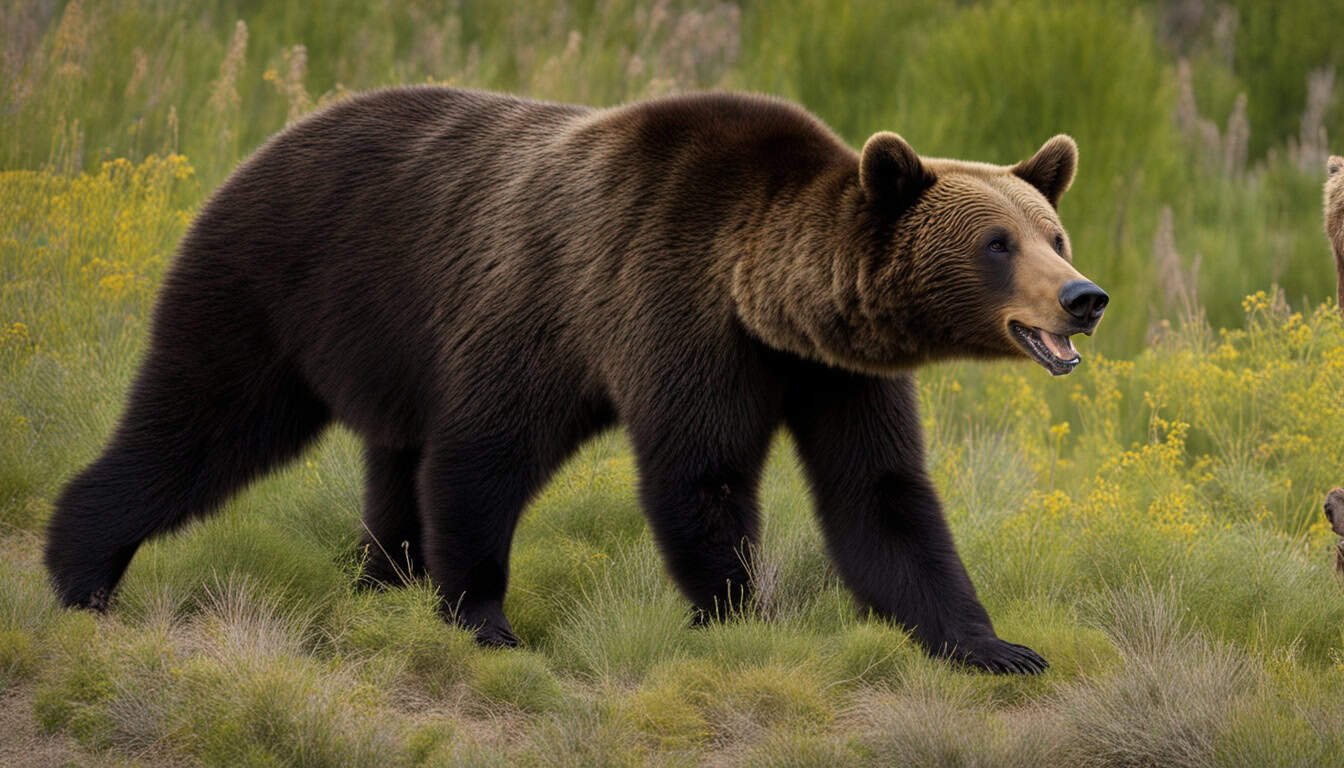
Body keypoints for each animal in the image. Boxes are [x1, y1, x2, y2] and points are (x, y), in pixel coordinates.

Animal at [45, 87, 1107, 674]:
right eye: (996, 242)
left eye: (1053, 234)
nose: (1084, 297)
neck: (761, 298)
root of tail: (265, 144)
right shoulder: (653, 304)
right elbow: (694, 474)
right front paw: (742, 614)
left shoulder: (833, 373)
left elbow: (881, 496)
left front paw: (993, 644)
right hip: (288, 285)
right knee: (204, 423)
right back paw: (81, 565)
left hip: (393, 344)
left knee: (396, 459)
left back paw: (383, 579)